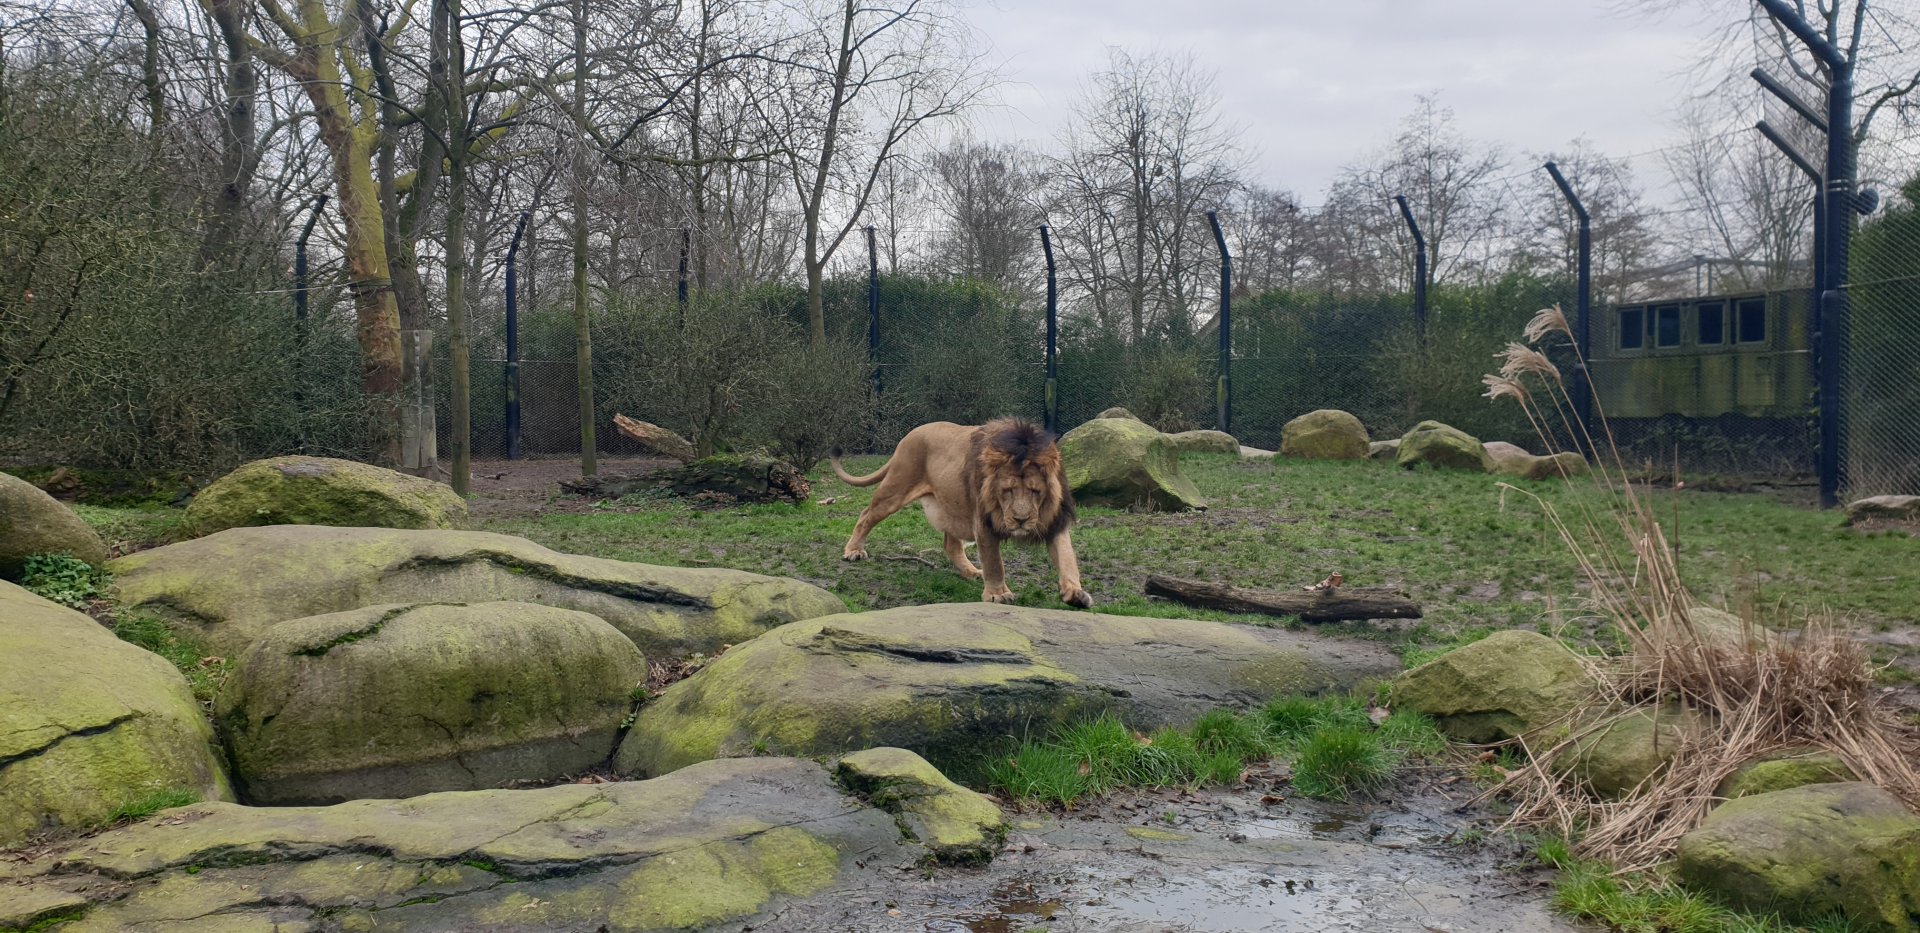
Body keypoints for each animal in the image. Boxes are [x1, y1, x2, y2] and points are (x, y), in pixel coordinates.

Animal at [831, 419, 1091, 608]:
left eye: (1035, 491)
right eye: (1007, 490)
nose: (1021, 520)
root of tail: (907, 437)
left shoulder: (1055, 521)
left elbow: (1067, 558)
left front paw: (1075, 593)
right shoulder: (983, 521)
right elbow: (994, 562)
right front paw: (998, 595)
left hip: (953, 507)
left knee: (951, 545)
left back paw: (972, 572)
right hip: (896, 488)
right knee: (866, 515)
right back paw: (853, 551)